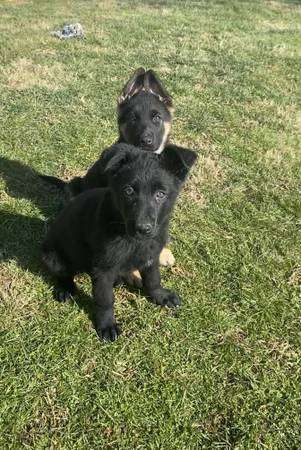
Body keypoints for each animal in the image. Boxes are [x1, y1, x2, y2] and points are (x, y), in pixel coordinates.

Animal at [42, 143, 197, 342]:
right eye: (128, 191)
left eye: (161, 194)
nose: (143, 228)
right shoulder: (103, 270)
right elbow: (105, 299)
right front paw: (107, 325)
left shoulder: (151, 257)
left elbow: (153, 279)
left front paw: (160, 296)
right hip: (52, 256)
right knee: (63, 272)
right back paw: (65, 289)